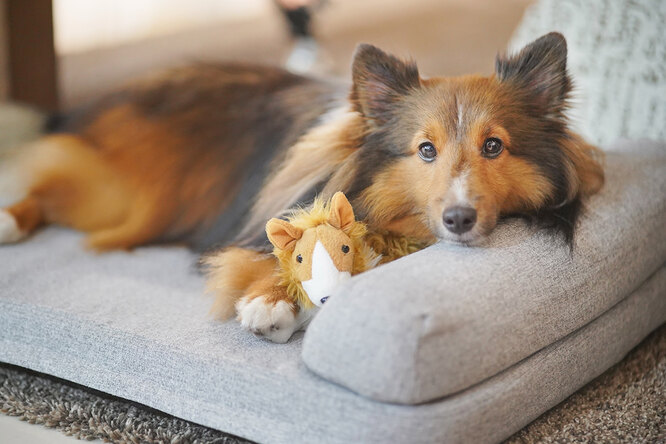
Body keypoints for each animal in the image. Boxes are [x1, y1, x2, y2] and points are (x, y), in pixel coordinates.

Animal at [0, 33, 600, 340]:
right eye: (425, 150)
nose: (458, 219)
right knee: (45, 183)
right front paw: (269, 303)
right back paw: (9, 220)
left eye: (494, 146)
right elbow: (269, 255)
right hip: (112, 195)